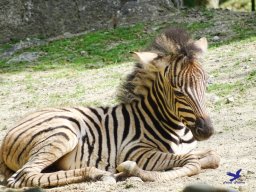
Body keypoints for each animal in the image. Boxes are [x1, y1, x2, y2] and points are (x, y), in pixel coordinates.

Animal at [0, 27, 220, 188]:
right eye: (177, 91)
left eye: (206, 84)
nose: (207, 131)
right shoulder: (135, 151)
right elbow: (192, 163)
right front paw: (129, 170)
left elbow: (211, 156)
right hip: (63, 132)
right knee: (26, 175)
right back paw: (99, 174)